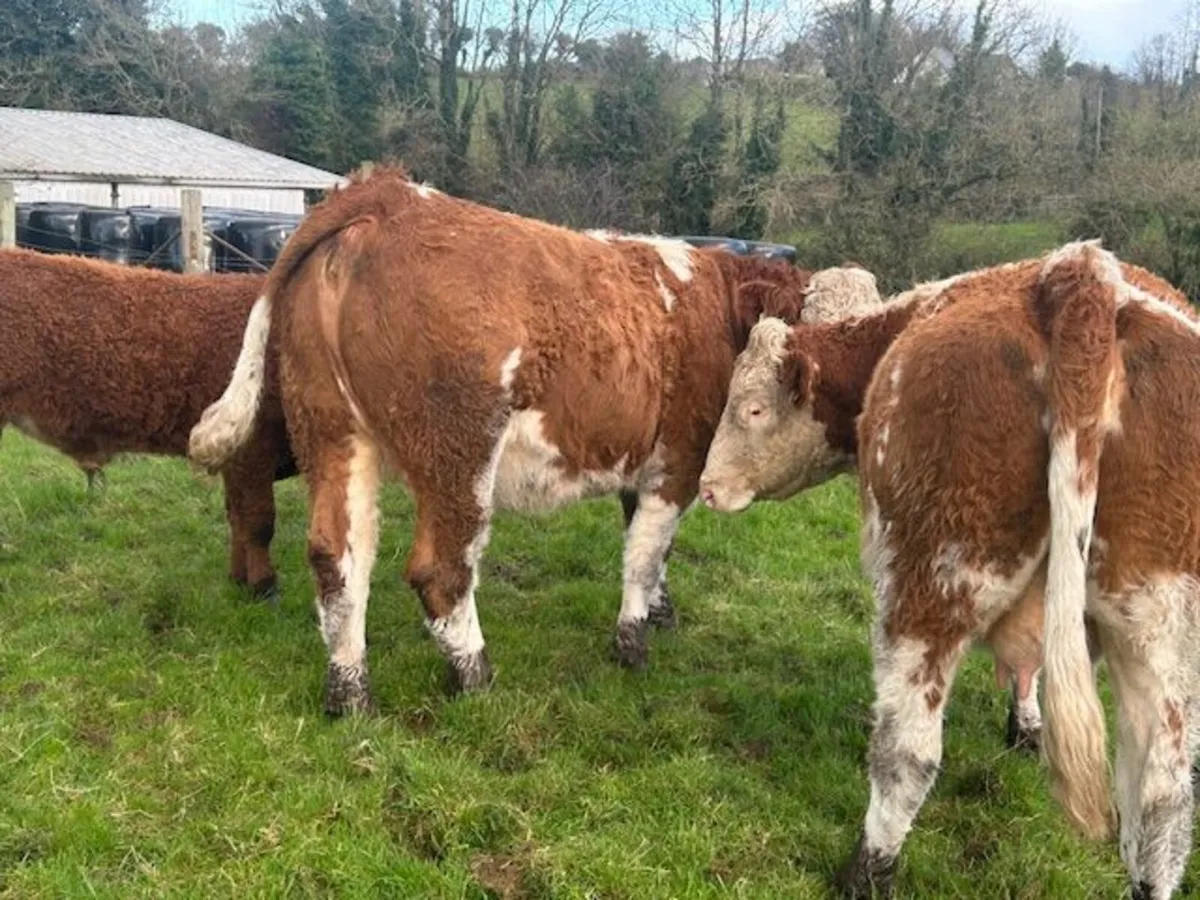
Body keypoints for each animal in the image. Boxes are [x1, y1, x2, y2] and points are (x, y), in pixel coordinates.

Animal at [0, 247, 294, 596]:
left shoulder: (234, 459)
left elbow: (236, 518)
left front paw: (239, 581)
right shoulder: (255, 448)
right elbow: (259, 522)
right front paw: (265, 586)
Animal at [186, 164, 848, 716]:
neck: (717, 306)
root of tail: (388, 195)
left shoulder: (643, 461)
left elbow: (650, 547)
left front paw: (661, 612)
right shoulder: (679, 461)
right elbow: (643, 556)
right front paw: (632, 644)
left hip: (334, 433)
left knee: (339, 560)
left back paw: (350, 694)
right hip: (458, 452)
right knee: (440, 570)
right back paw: (476, 677)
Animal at [698, 241, 1200, 898]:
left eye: (751, 407)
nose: (707, 487)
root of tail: (1077, 276)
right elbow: (1034, 665)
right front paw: (1025, 724)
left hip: (931, 582)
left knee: (908, 750)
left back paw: (866, 870)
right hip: (1160, 623)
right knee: (1164, 795)